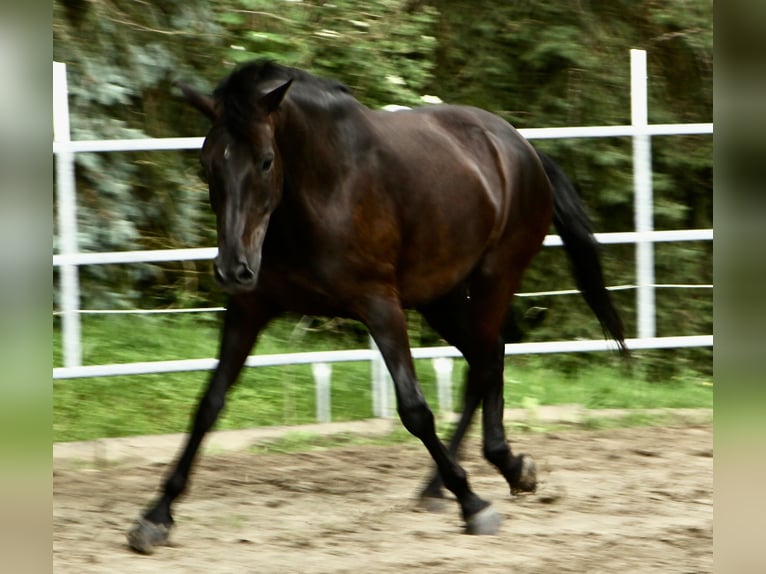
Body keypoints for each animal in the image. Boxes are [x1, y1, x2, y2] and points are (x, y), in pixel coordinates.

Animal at [127, 60, 626, 554]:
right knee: (487, 359)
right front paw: (155, 516)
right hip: (442, 297)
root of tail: (521, 147)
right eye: (207, 162)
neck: (323, 190)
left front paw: (473, 506)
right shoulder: (251, 308)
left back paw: (475, 478)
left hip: (492, 280)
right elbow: (208, 404)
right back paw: (470, 478)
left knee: (485, 363)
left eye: (266, 160)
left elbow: (415, 409)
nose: (233, 269)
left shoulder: (380, 305)